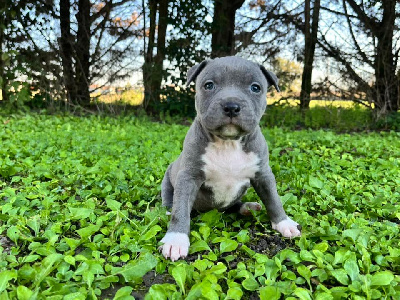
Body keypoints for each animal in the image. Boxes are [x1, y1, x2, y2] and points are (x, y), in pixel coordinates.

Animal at [159, 56, 300, 260]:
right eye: (208, 85)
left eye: (255, 88)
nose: (232, 106)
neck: (228, 143)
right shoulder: (188, 177)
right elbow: (181, 208)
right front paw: (176, 239)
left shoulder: (263, 175)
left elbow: (273, 199)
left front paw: (284, 223)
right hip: (168, 179)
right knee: (171, 201)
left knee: (234, 205)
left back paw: (247, 207)